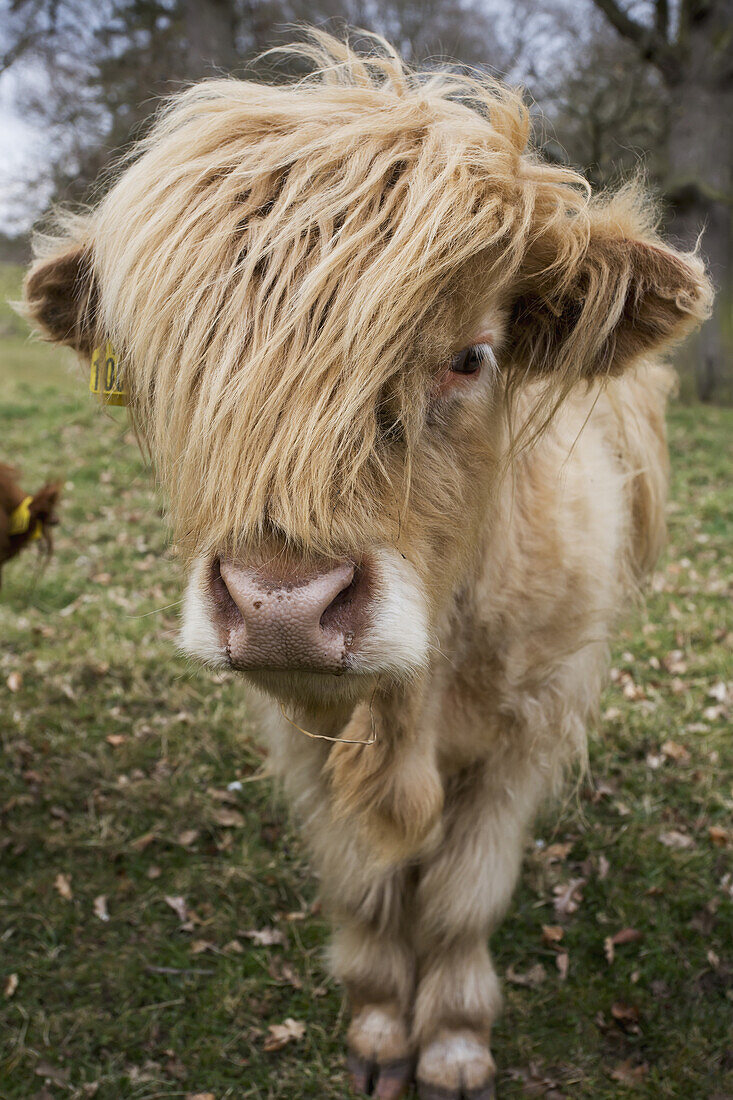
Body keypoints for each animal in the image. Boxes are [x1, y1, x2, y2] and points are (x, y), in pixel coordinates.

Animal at [22, 34, 708, 1100]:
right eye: (175, 372)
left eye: (470, 357)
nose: (280, 606)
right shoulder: (301, 734)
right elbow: (362, 887)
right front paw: (381, 1032)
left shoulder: (533, 718)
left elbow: (465, 895)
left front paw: (456, 1046)